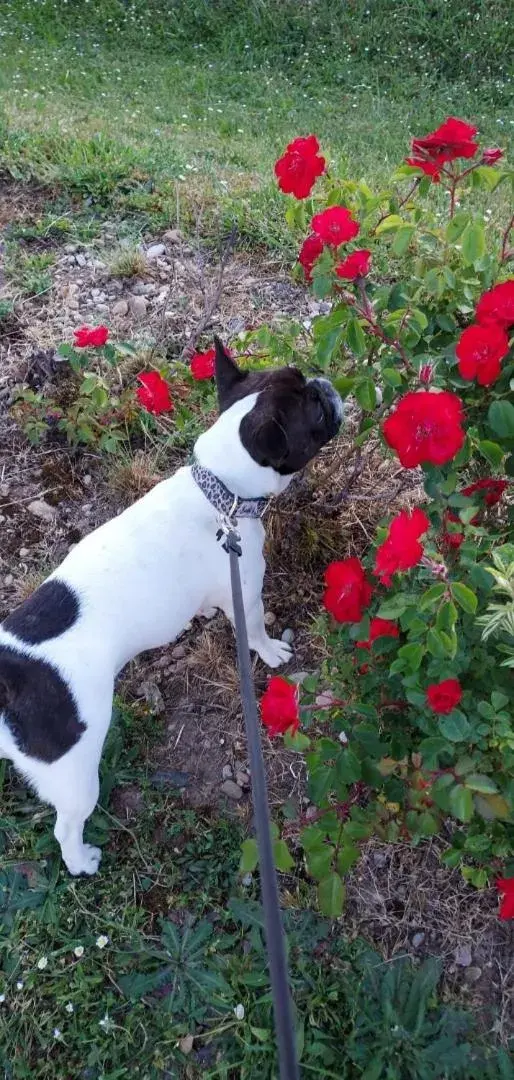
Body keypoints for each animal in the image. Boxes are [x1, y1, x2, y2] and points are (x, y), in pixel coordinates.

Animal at [1, 341, 345, 872]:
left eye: (305, 380)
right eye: (314, 410)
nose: (324, 385)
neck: (222, 491)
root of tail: (13, 672)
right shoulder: (246, 590)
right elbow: (254, 632)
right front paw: (271, 652)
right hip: (75, 771)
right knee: (66, 826)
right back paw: (82, 861)